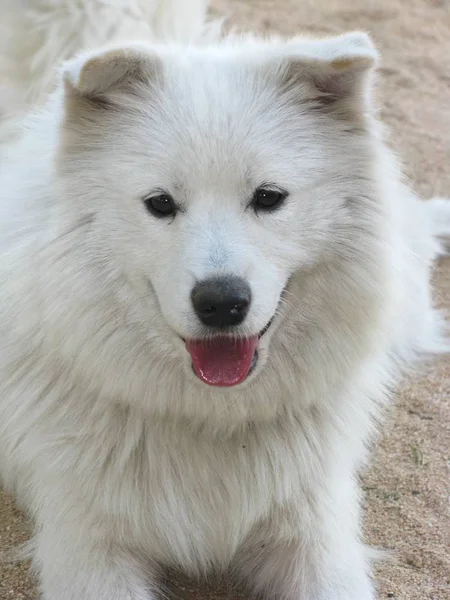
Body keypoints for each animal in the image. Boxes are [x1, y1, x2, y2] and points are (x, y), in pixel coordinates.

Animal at [0, 1, 448, 600]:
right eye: (160, 203)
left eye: (269, 197)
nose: (220, 302)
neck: (210, 420)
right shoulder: (87, 544)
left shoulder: (314, 527)